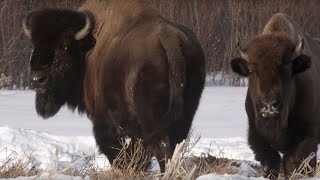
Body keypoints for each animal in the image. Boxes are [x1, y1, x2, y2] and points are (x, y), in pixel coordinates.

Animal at [22, 0, 205, 172]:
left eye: (65, 46)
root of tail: (170, 42)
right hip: (185, 114)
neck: (86, 51)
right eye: (34, 45)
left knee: (162, 146)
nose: (37, 79)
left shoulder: (103, 120)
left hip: (151, 119)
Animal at [230, 13, 320, 179]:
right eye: (251, 70)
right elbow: (271, 161)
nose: (269, 105)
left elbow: (294, 162)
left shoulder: (307, 137)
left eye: (287, 68)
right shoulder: (257, 136)